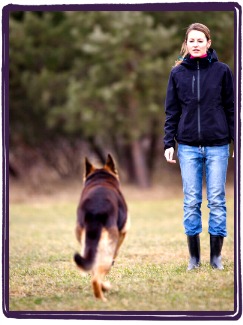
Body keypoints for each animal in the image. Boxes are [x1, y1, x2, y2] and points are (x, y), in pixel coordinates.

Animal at [74, 153, 130, 300]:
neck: (100, 179)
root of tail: (95, 210)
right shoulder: (123, 232)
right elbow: (117, 250)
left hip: (87, 247)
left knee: (93, 271)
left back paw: (103, 289)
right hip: (105, 249)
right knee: (96, 278)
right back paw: (102, 298)